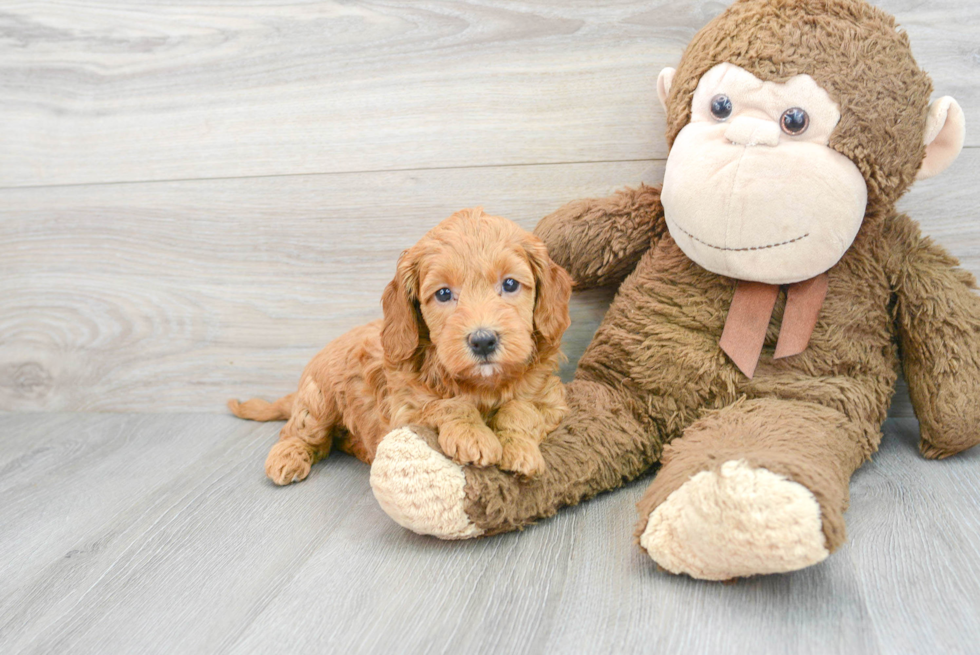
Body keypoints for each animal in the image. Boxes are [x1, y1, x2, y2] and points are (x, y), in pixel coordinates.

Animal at [228, 208, 576, 484]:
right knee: (298, 433)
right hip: (318, 401)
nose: (483, 341)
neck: (483, 385)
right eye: (444, 293)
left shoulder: (552, 399)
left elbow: (521, 408)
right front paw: (473, 434)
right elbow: (448, 404)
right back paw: (287, 456)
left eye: (510, 284)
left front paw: (519, 450)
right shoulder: (405, 408)